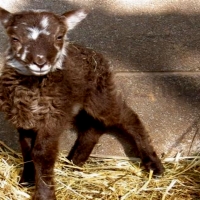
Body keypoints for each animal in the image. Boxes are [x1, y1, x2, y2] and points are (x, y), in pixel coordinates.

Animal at [0, 7, 163, 200]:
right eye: (15, 38)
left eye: (59, 37)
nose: (40, 62)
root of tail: (94, 53)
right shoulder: (23, 119)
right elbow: (26, 149)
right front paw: (27, 180)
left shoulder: (54, 117)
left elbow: (41, 153)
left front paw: (44, 194)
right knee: (94, 126)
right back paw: (75, 162)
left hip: (99, 94)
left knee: (127, 117)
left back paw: (154, 165)